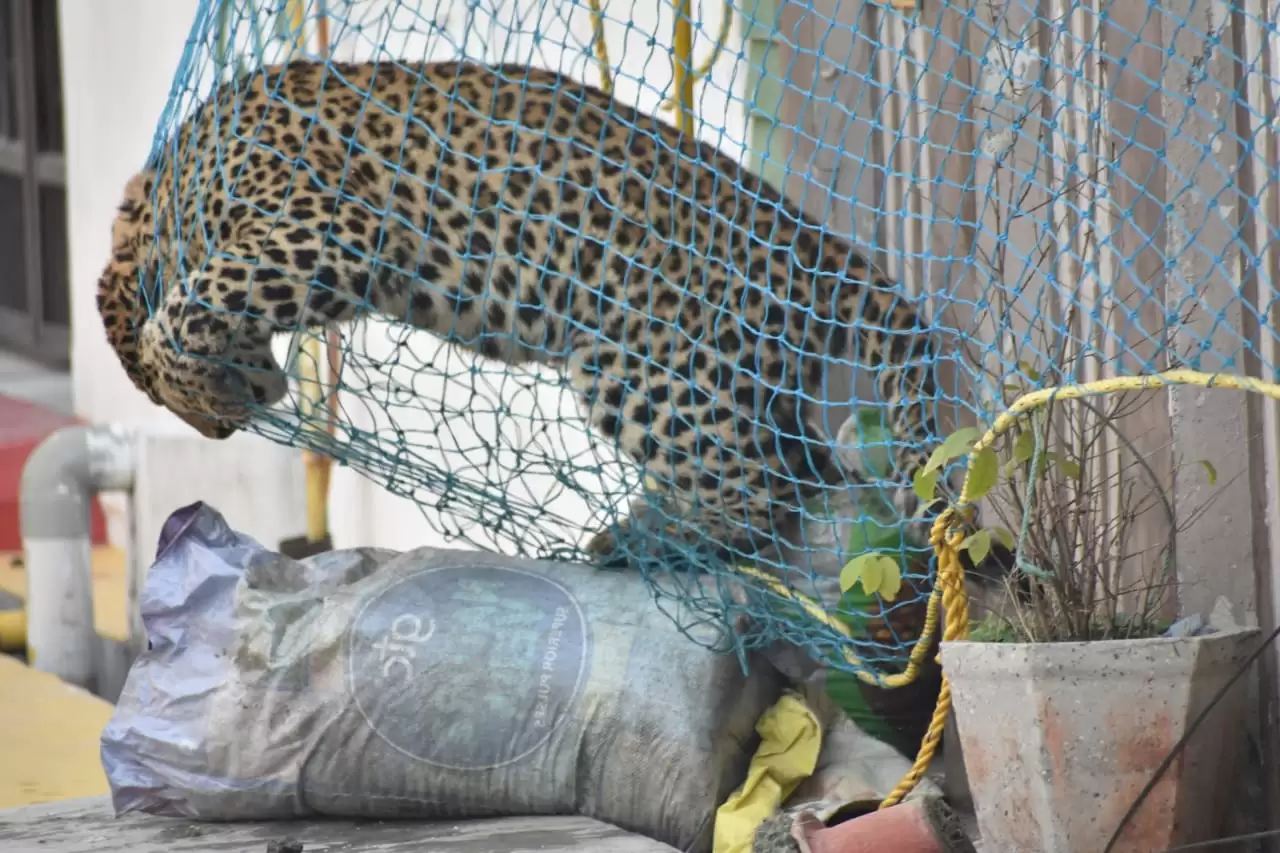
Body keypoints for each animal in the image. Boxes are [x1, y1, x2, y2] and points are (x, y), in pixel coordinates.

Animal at [96, 58, 966, 570]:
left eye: (152, 399)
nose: (224, 430)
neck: (170, 193)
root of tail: (813, 243)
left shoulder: (323, 232)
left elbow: (181, 314)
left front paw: (200, 373)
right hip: (735, 381)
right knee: (807, 475)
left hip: (645, 368)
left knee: (766, 492)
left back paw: (642, 538)